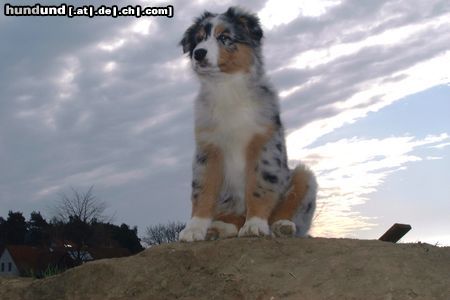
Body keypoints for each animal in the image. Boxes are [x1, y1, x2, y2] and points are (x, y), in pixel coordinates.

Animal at [178, 6, 316, 241]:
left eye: (224, 38)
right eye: (198, 40)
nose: (199, 53)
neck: (226, 87)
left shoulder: (263, 143)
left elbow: (259, 186)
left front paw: (254, 225)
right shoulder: (208, 148)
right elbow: (203, 189)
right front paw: (194, 228)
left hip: (302, 177)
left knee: (289, 211)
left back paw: (282, 226)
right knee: (231, 219)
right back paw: (219, 228)